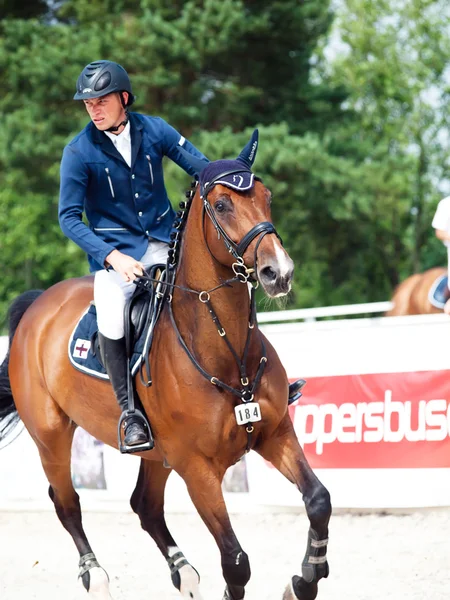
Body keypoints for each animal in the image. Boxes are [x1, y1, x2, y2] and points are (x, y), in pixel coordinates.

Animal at [0, 132, 330, 600]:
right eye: (223, 205)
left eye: (267, 198)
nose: (278, 273)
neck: (227, 353)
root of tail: (37, 306)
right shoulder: (197, 469)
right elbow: (236, 561)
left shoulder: (276, 432)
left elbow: (318, 500)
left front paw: (304, 579)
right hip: (51, 436)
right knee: (67, 502)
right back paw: (96, 576)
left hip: (157, 454)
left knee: (145, 505)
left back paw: (183, 571)